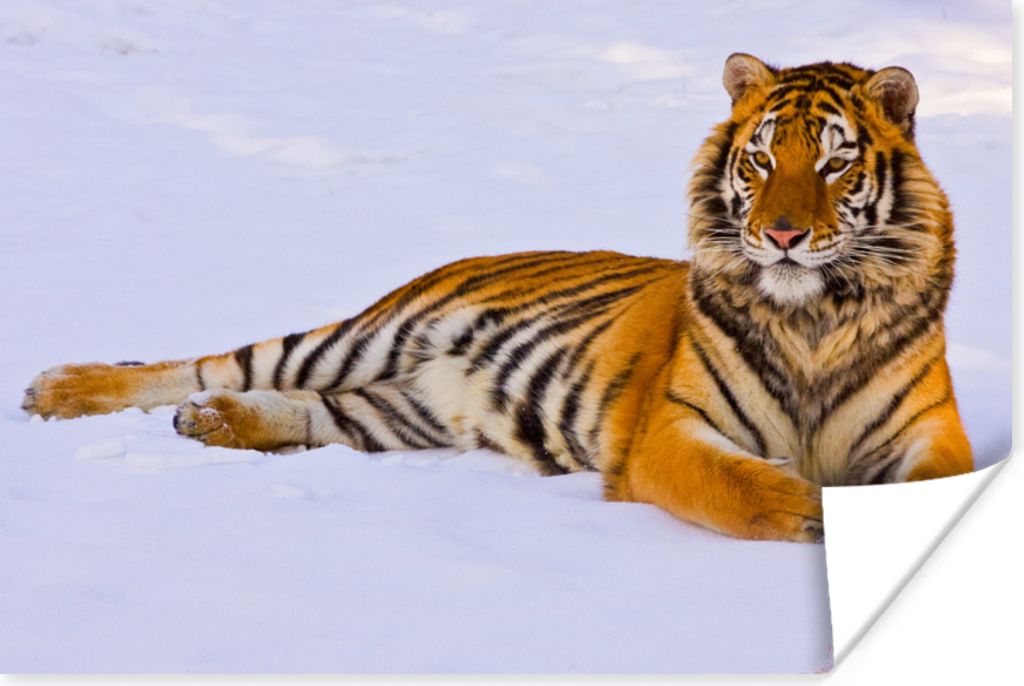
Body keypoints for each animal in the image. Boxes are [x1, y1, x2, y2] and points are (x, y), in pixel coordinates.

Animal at [22, 54, 973, 543]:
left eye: (836, 163)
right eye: (763, 159)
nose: (780, 235)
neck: (814, 314)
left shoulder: (928, 430)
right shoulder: (672, 431)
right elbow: (749, 488)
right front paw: (816, 513)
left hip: (397, 412)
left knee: (302, 408)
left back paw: (212, 423)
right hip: (365, 333)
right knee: (204, 363)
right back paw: (58, 389)